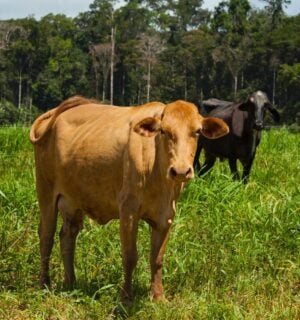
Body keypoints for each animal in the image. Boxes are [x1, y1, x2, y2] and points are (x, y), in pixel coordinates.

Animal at [29, 96, 229, 302]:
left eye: (197, 131)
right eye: (163, 131)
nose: (181, 171)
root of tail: (56, 112)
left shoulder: (166, 215)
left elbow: (157, 258)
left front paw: (158, 296)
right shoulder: (128, 211)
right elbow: (130, 256)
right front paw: (125, 297)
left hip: (73, 201)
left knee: (67, 236)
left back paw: (70, 283)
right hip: (45, 192)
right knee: (46, 236)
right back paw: (45, 284)